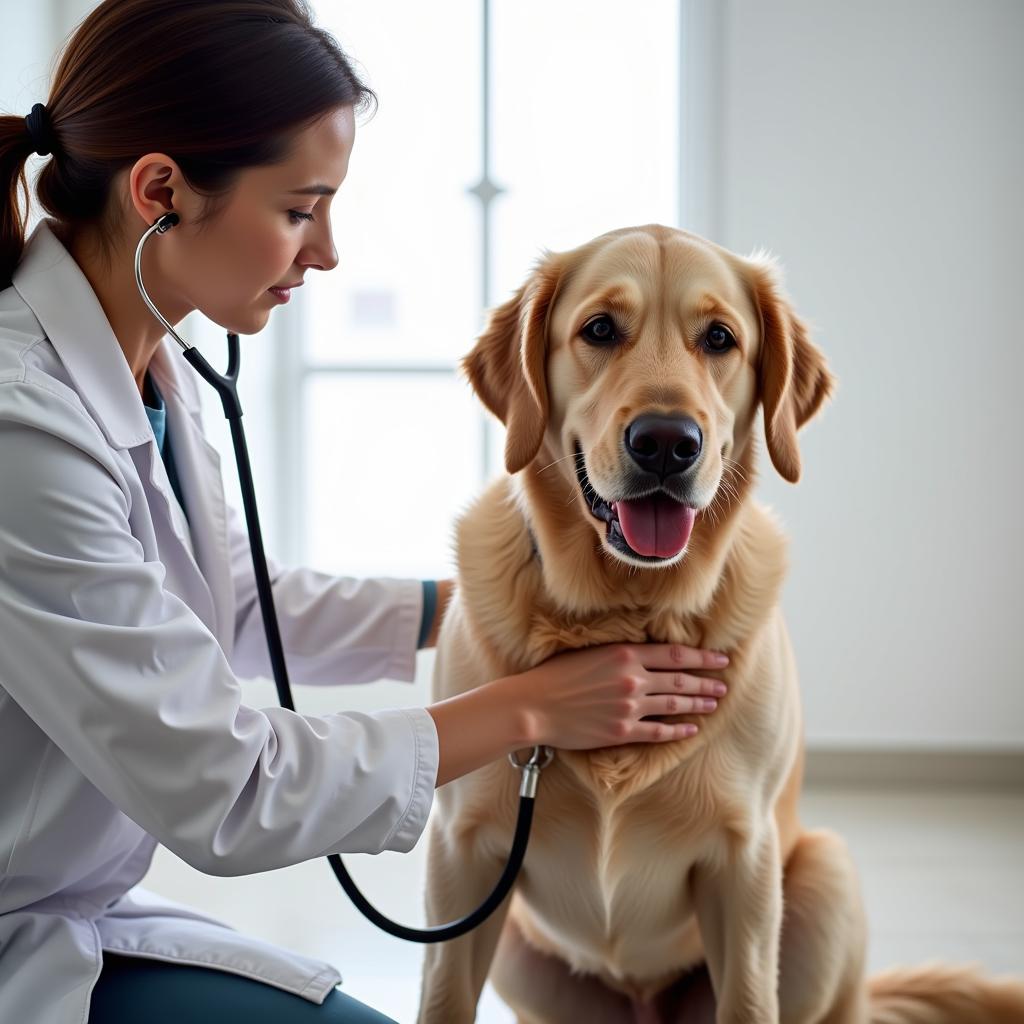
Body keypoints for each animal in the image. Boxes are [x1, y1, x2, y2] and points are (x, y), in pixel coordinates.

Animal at [415, 226, 1024, 1024]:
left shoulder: (744, 863)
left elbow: (748, 1000)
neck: (630, 608)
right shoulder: (463, 854)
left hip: (826, 876)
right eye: (599, 330)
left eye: (719, 339)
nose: (667, 442)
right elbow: (443, 998)